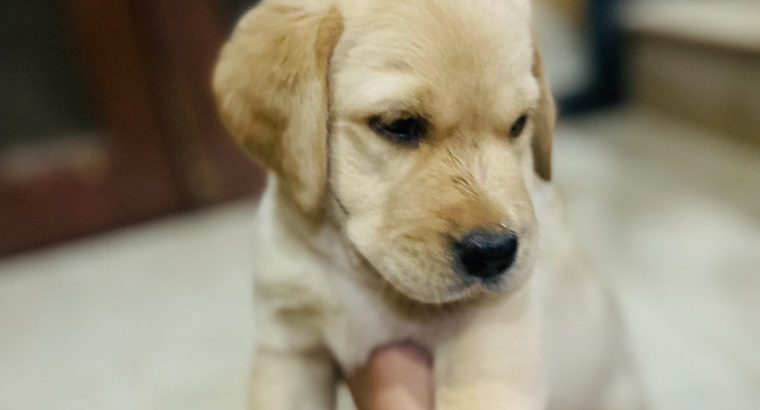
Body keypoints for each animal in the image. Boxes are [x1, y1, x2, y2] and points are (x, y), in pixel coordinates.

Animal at [212, 0, 640, 410]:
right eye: (399, 125)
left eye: (519, 124)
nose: (494, 253)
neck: (361, 274)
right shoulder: (288, 350)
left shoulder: (493, 343)